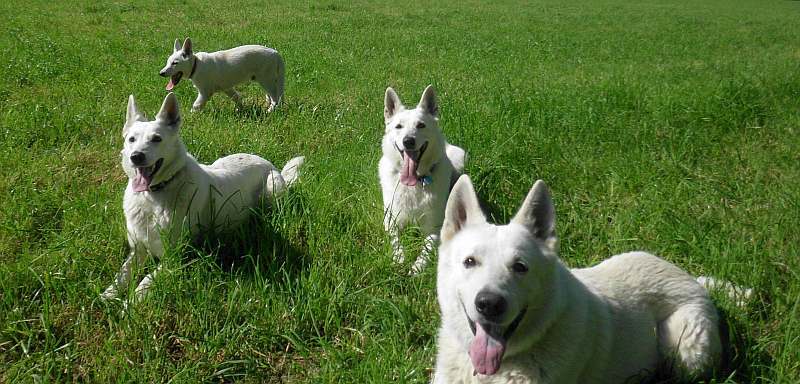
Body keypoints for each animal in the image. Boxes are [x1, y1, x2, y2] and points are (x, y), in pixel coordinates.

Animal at [101, 92, 304, 300]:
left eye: (157, 138)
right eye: (131, 139)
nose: (136, 157)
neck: (154, 195)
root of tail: (270, 164)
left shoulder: (173, 257)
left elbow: (145, 282)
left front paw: (129, 303)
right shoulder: (137, 250)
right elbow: (121, 276)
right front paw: (106, 297)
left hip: (273, 188)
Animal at [378, 85, 466, 274]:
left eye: (421, 125)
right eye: (398, 126)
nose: (408, 141)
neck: (415, 182)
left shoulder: (435, 228)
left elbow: (426, 247)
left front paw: (417, 267)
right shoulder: (391, 221)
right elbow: (396, 241)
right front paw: (399, 258)